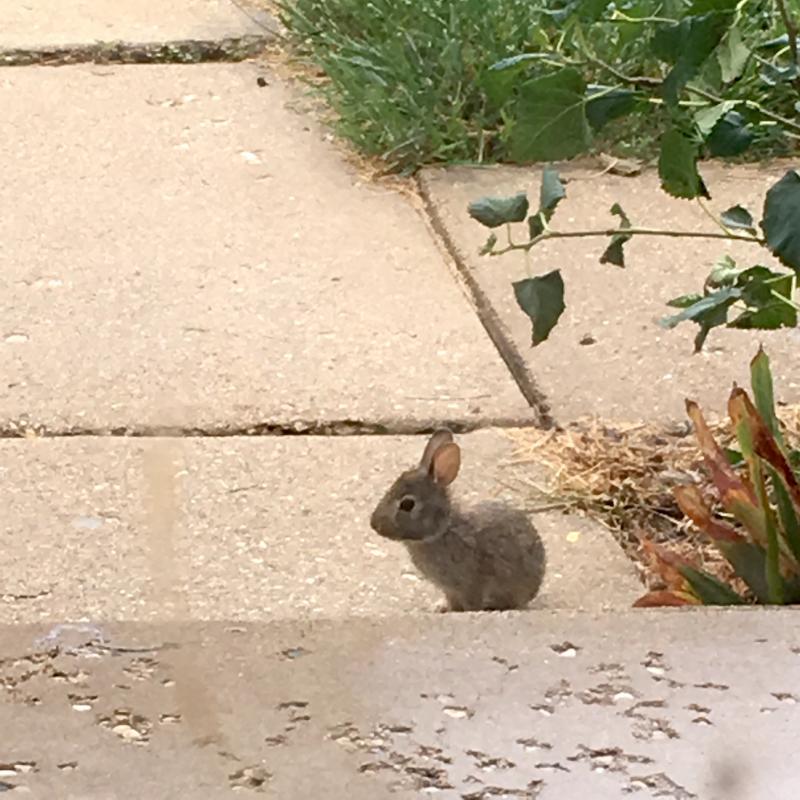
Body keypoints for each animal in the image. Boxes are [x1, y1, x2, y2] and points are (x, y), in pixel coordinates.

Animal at [368, 432, 544, 612]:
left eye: (407, 504)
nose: (374, 524)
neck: (441, 531)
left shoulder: (470, 584)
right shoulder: (450, 590)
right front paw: (441, 608)